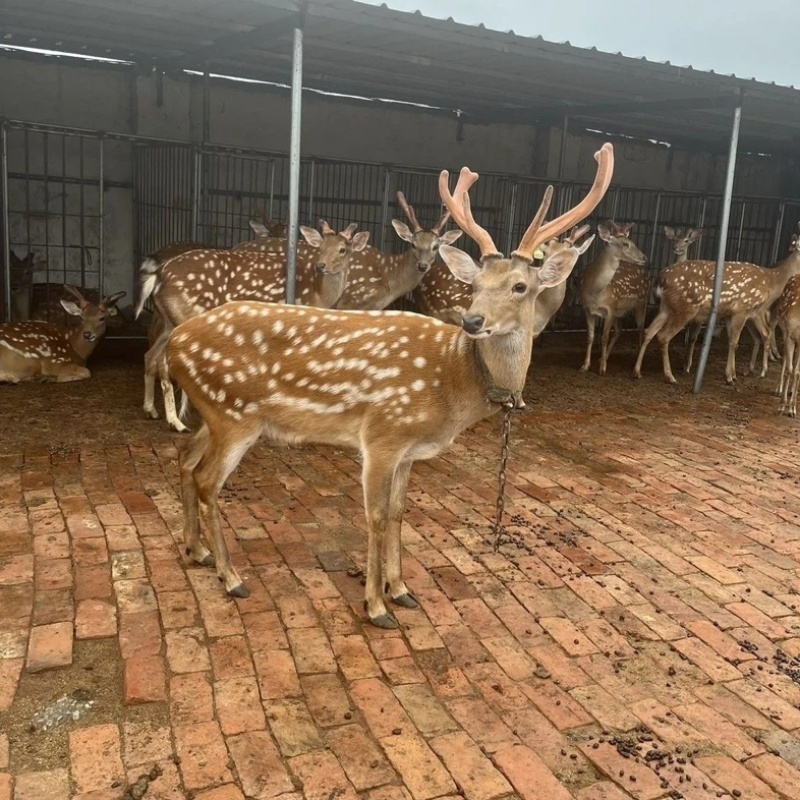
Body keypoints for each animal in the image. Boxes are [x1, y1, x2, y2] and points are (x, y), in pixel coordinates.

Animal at [137, 221, 370, 432]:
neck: (318, 293)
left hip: (169, 321)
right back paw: (177, 422)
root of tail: (157, 277)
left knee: (150, 355)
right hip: (185, 316)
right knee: (163, 361)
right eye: (320, 247)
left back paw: (151, 410)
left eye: (342, 249)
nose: (320, 266)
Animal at [163, 143, 614, 627]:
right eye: (473, 283)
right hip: (233, 414)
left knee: (185, 457)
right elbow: (376, 515)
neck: (453, 382)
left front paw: (401, 590)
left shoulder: (409, 449)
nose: (473, 321)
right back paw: (231, 576)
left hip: (215, 412)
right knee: (207, 480)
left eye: (519, 286)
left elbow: (399, 512)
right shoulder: (383, 433)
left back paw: (197, 551)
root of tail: (174, 343)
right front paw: (376, 605)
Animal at [578, 221, 648, 375]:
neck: (595, 292)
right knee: (620, 329)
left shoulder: (610, 307)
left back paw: (636, 368)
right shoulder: (587, 309)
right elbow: (590, 337)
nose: (645, 258)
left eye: (633, 242)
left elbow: (604, 337)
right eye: (625, 244)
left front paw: (602, 369)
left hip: (641, 303)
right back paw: (603, 358)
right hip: (619, 311)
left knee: (641, 330)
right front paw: (585, 365)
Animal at [633, 225, 800, 384]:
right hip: (686, 307)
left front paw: (733, 374)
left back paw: (637, 371)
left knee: (649, 331)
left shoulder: (733, 313)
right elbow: (734, 342)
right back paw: (670, 376)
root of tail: (659, 279)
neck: (772, 280)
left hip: (666, 307)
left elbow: (733, 341)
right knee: (663, 336)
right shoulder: (742, 309)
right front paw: (729, 377)